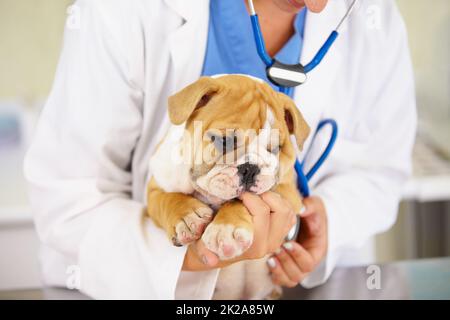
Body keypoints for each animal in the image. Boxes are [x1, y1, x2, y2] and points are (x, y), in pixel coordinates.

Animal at [148, 75, 310, 300]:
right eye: (224, 141)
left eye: (276, 149)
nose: (250, 168)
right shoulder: (155, 186)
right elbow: (167, 199)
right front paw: (187, 217)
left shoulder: (287, 194)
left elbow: (241, 202)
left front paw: (226, 229)